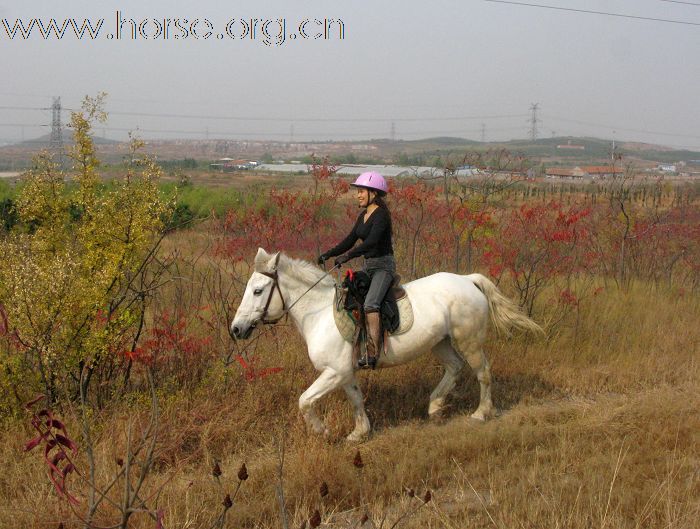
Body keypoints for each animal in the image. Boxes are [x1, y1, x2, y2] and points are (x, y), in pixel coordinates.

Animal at [230, 249, 540, 442]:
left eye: (257, 291)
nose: (236, 329)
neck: (318, 313)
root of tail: (467, 280)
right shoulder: (345, 373)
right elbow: (356, 399)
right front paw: (359, 433)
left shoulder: (334, 372)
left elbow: (305, 400)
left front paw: (323, 432)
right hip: (440, 342)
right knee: (454, 367)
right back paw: (435, 406)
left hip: (469, 340)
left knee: (482, 372)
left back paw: (480, 413)